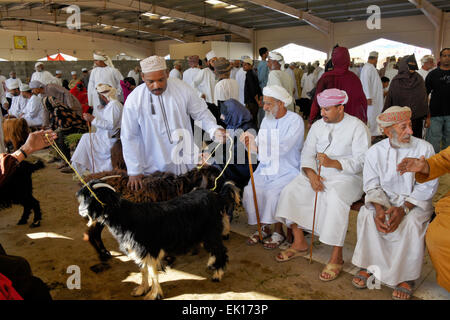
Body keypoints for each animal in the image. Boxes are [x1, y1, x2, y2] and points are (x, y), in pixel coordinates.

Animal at [76, 180, 243, 300]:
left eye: (92, 197)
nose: (80, 210)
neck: (126, 217)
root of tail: (217, 196)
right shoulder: (139, 250)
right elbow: (143, 270)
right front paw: (141, 289)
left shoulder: (150, 249)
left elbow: (152, 271)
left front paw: (153, 294)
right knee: (215, 249)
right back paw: (211, 263)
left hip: (211, 232)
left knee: (221, 250)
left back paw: (217, 274)